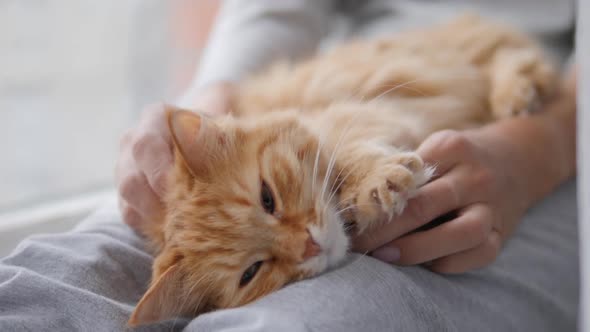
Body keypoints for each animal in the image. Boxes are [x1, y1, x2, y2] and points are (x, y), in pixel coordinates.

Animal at [127, 14, 556, 326]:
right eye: (252, 272)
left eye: (268, 198)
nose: (309, 246)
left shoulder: (366, 114)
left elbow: (350, 154)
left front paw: (375, 185)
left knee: (507, 51)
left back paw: (518, 93)